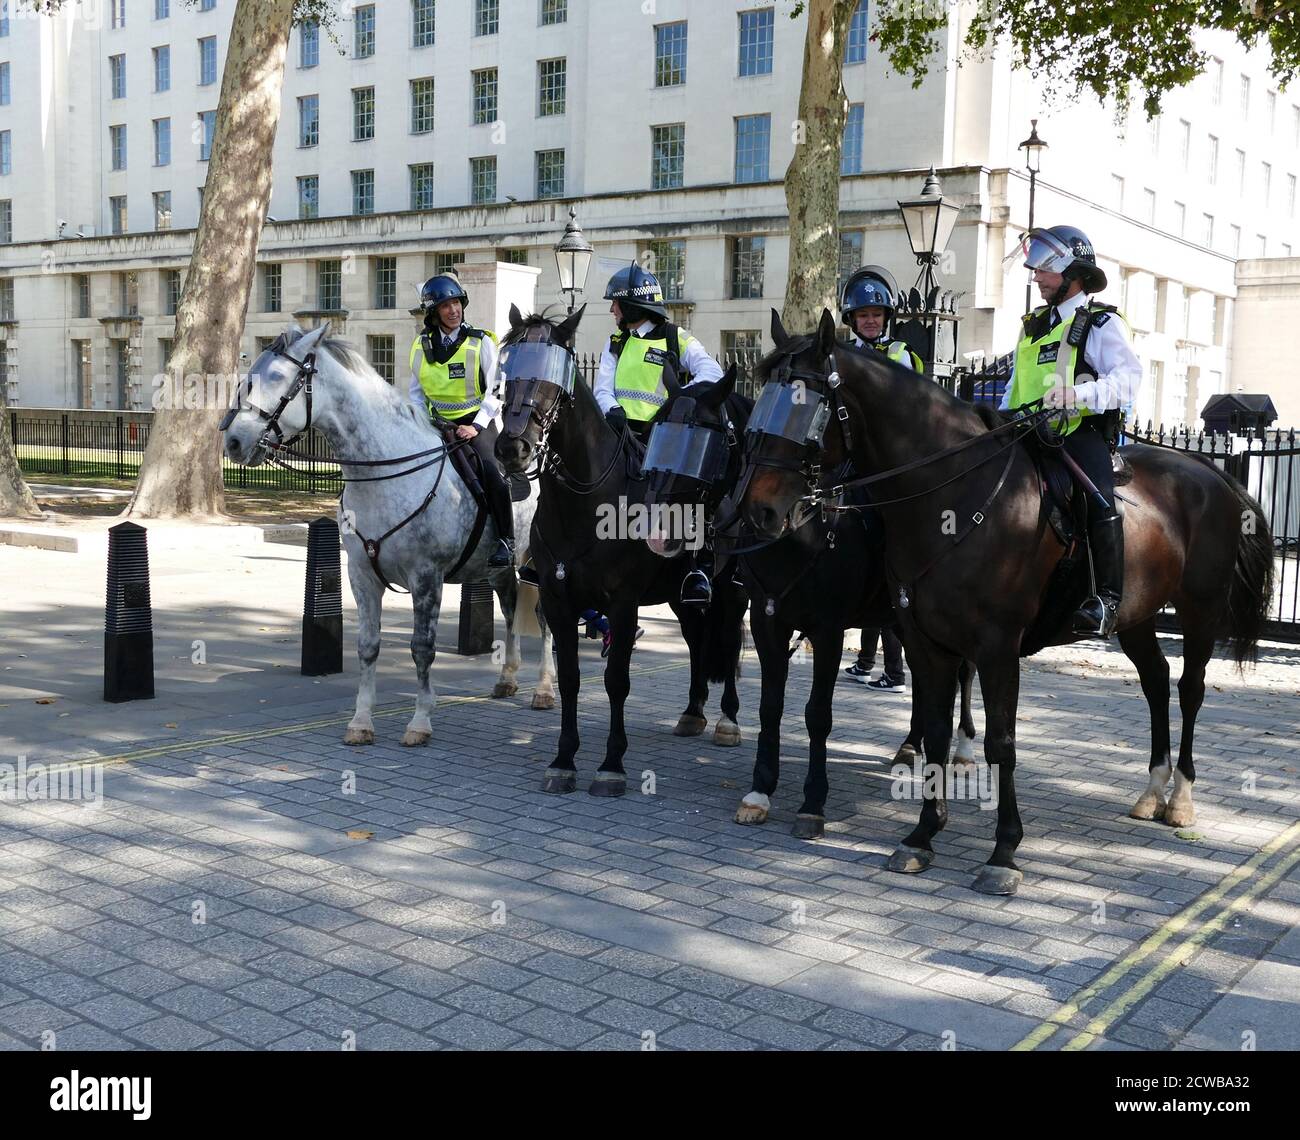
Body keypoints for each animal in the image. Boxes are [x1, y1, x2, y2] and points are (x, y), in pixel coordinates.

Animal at [493, 306, 748, 795]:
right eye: (507, 372)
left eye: (555, 376)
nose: (512, 447)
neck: (585, 503)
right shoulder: (558, 600)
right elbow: (571, 679)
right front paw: (564, 759)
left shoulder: (623, 605)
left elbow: (616, 681)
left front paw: (612, 763)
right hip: (681, 595)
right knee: (696, 639)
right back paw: (692, 713)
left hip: (734, 589)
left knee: (727, 643)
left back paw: (727, 721)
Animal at [738, 306, 1274, 894]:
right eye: (760, 402)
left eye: (803, 407)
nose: (759, 512)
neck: (952, 497)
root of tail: (1210, 471)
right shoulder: (923, 640)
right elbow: (931, 730)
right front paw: (922, 834)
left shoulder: (993, 646)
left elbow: (1003, 742)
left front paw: (1003, 852)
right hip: (1134, 615)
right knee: (1155, 681)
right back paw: (1151, 790)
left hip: (1200, 613)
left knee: (1190, 689)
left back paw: (1179, 798)